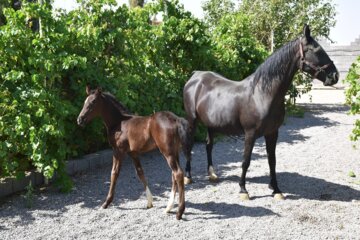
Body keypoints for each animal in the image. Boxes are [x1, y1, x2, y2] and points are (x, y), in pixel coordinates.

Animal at [77, 86, 190, 219]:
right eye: (85, 102)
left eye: (93, 102)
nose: (80, 119)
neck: (119, 122)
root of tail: (175, 119)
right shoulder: (133, 153)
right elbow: (140, 172)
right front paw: (149, 202)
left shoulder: (118, 151)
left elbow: (114, 173)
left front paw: (106, 202)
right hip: (174, 152)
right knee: (174, 175)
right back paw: (168, 208)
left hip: (168, 152)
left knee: (178, 173)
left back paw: (179, 212)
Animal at [184, 25, 338, 200]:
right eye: (316, 50)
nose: (335, 75)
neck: (261, 94)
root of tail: (195, 76)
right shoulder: (250, 134)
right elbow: (246, 161)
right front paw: (243, 190)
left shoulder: (272, 133)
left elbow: (272, 161)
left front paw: (276, 190)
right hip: (192, 120)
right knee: (189, 145)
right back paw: (188, 177)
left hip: (211, 124)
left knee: (208, 145)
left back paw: (212, 175)